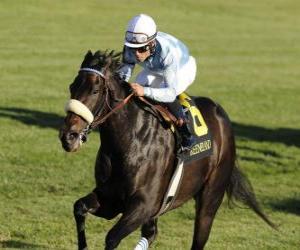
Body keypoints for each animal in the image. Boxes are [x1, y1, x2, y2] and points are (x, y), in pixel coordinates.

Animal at [58, 49, 274, 249]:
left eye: (95, 90)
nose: (68, 136)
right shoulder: (110, 199)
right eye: (72, 87)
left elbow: (111, 238)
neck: (130, 141)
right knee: (151, 233)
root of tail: (220, 114)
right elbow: (79, 207)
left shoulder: (144, 205)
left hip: (210, 197)